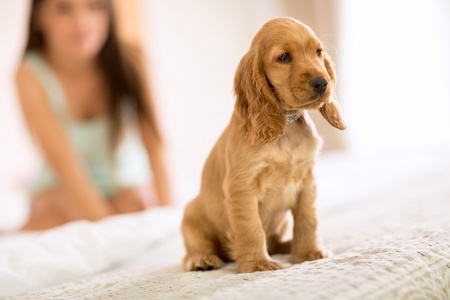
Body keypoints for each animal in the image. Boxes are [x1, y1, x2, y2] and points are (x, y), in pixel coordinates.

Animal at [181, 17, 346, 274]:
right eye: (284, 57)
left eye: (318, 52)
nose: (322, 83)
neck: (286, 127)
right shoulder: (243, 188)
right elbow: (252, 229)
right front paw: (258, 264)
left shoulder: (307, 182)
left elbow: (308, 220)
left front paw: (309, 252)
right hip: (191, 214)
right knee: (195, 247)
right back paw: (202, 259)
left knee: (275, 241)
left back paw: (288, 245)